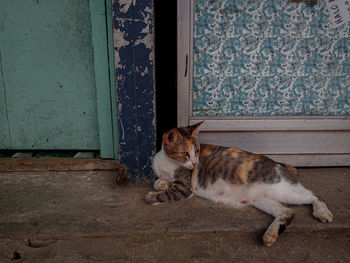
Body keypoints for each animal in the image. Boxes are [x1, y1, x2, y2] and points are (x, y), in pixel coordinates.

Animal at [146, 121, 334, 248]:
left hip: (282, 187)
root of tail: (280, 164)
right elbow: (158, 182)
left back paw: (322, 212)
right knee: (287, 212)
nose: (194, 162)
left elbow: (165, 194)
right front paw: (161, 183)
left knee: (314, 195)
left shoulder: (185, 187)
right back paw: (271, 234)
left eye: (197, 151)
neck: (167, 162)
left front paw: (152, 196)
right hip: (260, 199)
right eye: (185, 153)